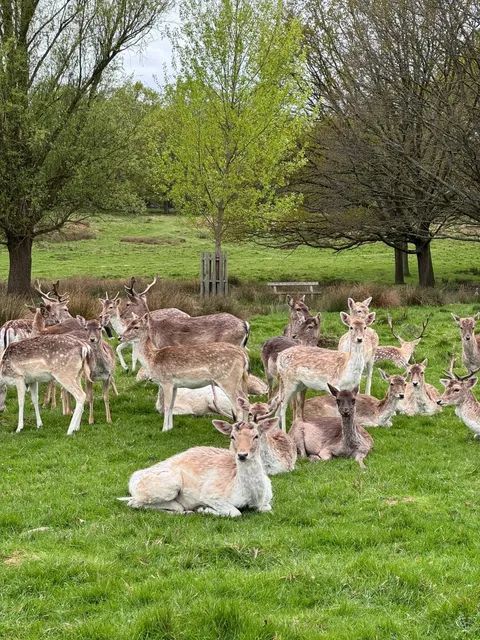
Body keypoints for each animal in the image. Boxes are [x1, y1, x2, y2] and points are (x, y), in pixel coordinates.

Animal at [119, 314, 250, 431]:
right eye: (127, 324)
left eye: (136, 327)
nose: (120, 337)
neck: (152, 359)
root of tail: (243, 356)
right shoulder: (175, 385)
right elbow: (172, 405)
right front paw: (170, 428)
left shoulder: (166, 382)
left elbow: (166, 406)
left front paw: (164, 429)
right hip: (237, 381)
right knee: (245, 400)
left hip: (227, 380)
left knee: (237, 406)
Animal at [119, 417, 278, 516]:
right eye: (232, 436)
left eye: (256, 436)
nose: (242, 455)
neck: (252, 498)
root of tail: (132, 480)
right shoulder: (211, 493)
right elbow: (235, 512)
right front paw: (204, 509)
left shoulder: (268, 499)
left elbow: (267, 508)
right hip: (168, 484)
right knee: (134, 502)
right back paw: (188, 510)